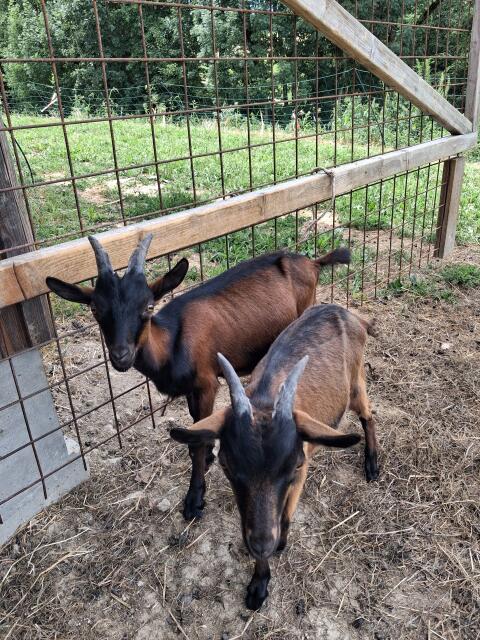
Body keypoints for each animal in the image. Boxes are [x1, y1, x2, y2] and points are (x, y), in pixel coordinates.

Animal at [46, 235, 350, 521]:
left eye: (148, 306)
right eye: (95, 309)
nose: (121, 355)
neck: (171, 343)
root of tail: (312, 262)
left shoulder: (206, 384)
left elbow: (198, 439)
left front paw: (194, 499)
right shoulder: (191, 391)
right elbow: (196, 431)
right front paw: (207, 460)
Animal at [170, 304, 379, 610]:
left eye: (294, 466)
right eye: (226, 466)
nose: (262, 545)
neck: (266, 398)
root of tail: (351, 315)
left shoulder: (301, 470)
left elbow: (284, 519)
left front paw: (273, 556)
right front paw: (259, 583)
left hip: (356, 385)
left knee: (368, 415)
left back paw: (372, 464)